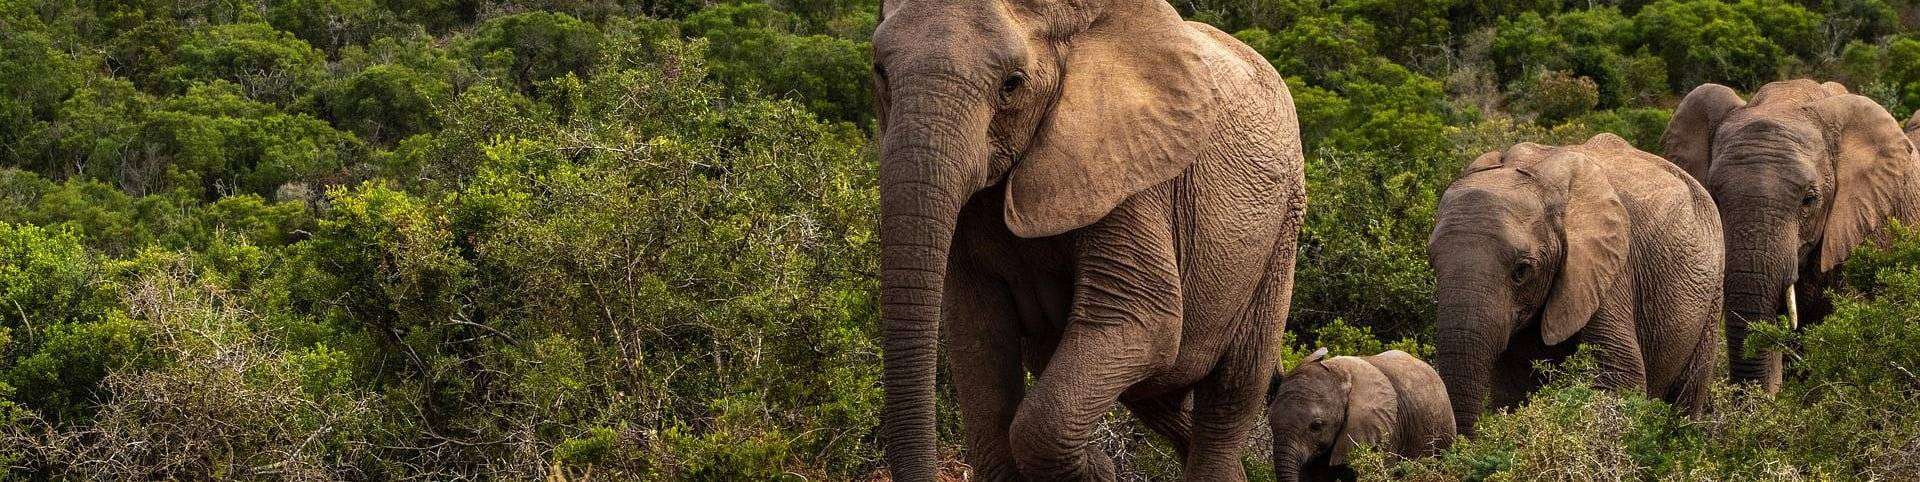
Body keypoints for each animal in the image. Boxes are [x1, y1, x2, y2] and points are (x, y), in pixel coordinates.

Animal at [869, 0, 1305, 480]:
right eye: (879, 72)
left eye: (1011, 85)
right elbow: (977, 334)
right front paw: (1097, 466)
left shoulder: (1129, 171)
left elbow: (1143, 319)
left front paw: (1098, 470)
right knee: (1162, 400)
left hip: (1282, 234)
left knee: (1232, 391)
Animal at [1429, 134, 1723, 433]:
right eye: (1433, 264)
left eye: (1521, 272)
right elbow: (1514, 388)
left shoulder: (1607, 268)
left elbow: (1618, 375)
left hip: (1713, 290)